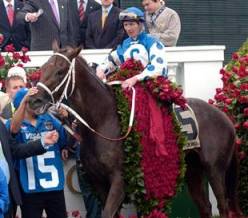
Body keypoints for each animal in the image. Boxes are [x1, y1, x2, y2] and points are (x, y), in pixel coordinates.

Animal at [28, 44, 241, 218]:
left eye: (60, 71)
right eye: (43, 68)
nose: (34, 100)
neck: (102, 120)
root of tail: (225, 117)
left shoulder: (119, 180)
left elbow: (107, 213)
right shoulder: (98, 182)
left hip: (215, 169)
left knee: (222, 206)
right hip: (193, 170)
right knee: (205, 207)